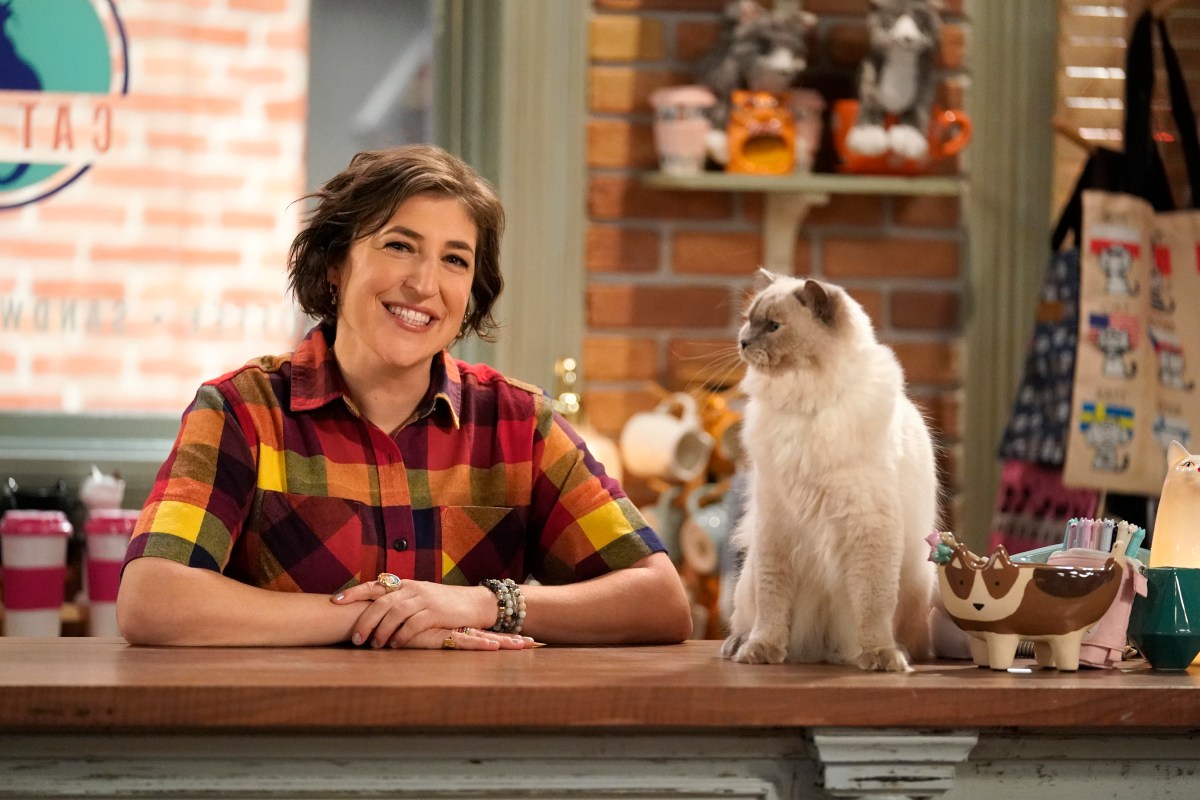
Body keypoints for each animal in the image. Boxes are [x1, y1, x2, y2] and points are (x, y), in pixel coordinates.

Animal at [720, 272, 936, 671]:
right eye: (749, 321)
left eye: (773, 327)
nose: (742, 342)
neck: (805, 404)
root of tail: (821, 648)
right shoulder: (776, 526)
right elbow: (772, 609)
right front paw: (761, 652)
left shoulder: (869, 525)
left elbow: (873, 604)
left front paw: (880, 657)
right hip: (747, 578)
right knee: (747, 619)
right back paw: (737, 645)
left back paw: (894, 652)